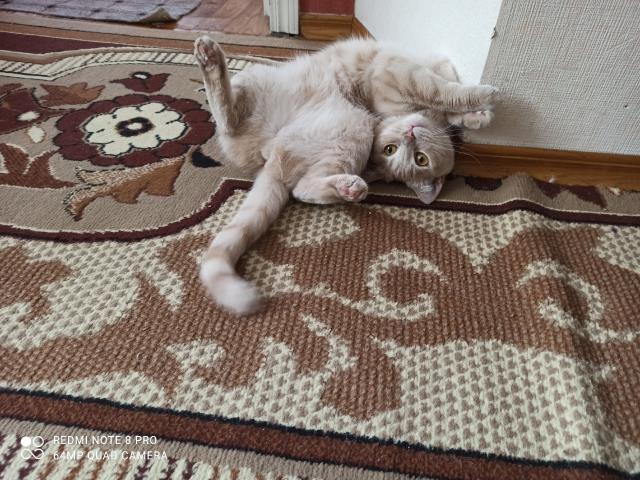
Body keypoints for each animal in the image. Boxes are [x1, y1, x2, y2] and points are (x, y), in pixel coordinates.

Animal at [194, 36, 496, 314]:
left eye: (420, 159)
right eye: (390, 149)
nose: (409, 134)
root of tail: (265, 157)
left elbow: (448, 100)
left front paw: (474, 114)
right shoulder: (400, 73)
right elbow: (443, 90)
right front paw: (481, 102)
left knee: (299, 186)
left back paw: (348, 188)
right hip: (262, 80)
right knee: (231, 121)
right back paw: (210, 59)